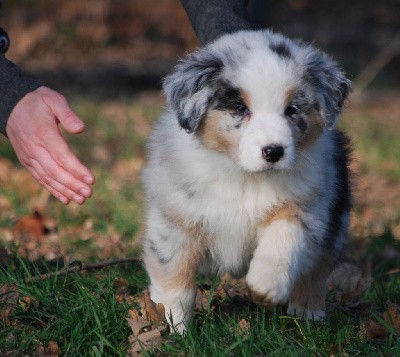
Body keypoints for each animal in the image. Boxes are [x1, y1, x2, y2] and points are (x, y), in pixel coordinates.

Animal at [141, 29, 350, 332]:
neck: (245, 176)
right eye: (240, 108)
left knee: (316, 272)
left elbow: (285, 233)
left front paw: (266, 284)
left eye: (292, 109)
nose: (274, 151)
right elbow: (174, 275)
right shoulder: (175, 220)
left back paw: (307, 314)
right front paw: (174, 326)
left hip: (336, 224)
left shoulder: (308, 205)